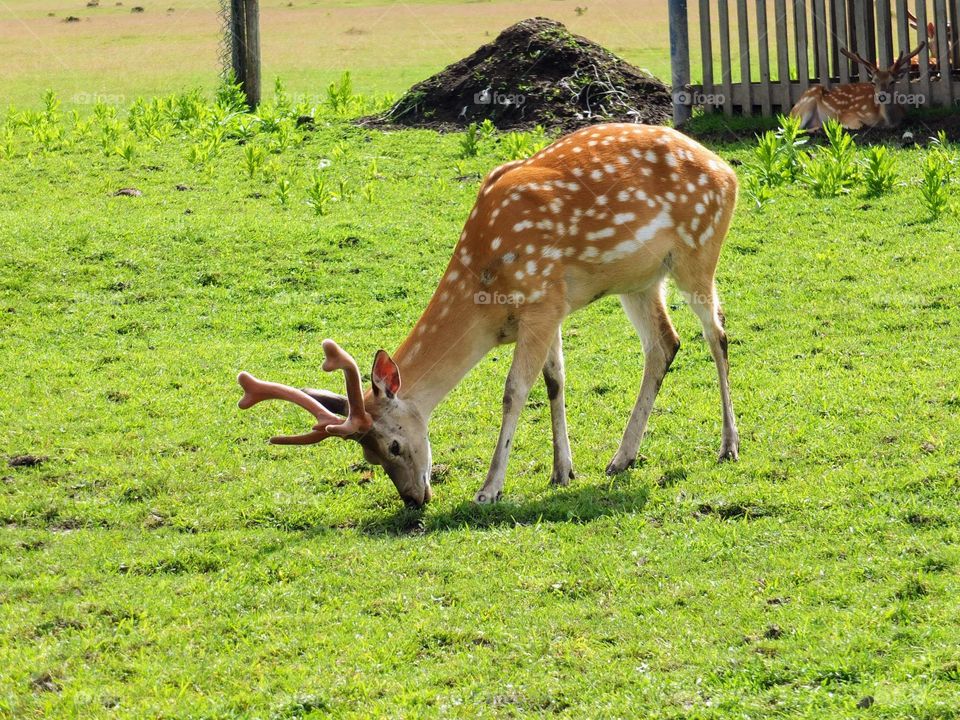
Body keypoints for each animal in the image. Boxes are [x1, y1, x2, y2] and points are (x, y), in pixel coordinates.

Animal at [236, 123, 740, 507]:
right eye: (369, 459)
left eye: (393, 444)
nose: (414, 501)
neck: (486, 293)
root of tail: (729, 170)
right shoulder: (552, 305)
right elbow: (554, 380)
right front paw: (563, 471)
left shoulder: (540, 300)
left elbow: (515, 391)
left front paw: (489, 489)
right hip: (639, 281)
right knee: (664, 343)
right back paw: (622, 457)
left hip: (699, 251)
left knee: (716, 334)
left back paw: (728, 445)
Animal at [789, 43, 925, 130]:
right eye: (873, 82)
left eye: (892, 81)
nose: (881, 97)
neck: (886, 121)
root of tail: (791, 112)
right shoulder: (848, 115)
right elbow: (859, 125)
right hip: (807, 103)